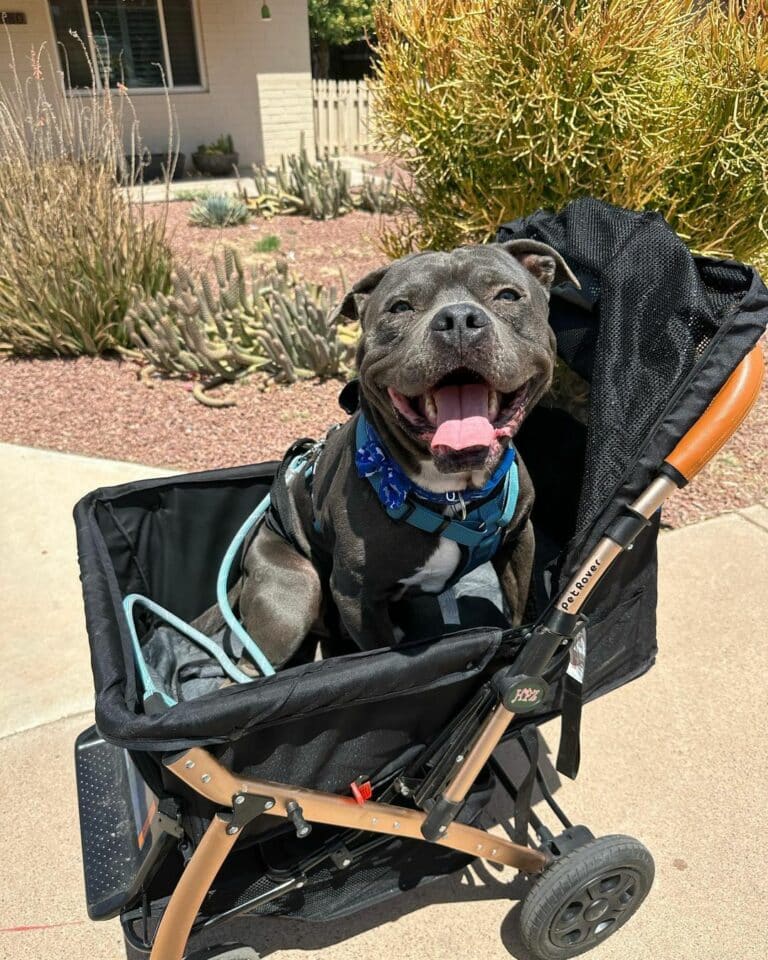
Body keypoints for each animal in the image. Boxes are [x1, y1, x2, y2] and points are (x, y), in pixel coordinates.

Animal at [195, 240, 580, 672]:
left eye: (508, 296)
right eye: (400, 307)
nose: (458, 319)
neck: (454, 495)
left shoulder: (519, 542)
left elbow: (518, 610)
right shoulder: (355, 596)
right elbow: (378, 650)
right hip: (296, 591)